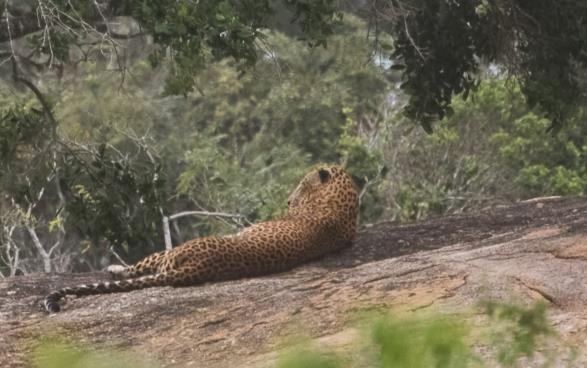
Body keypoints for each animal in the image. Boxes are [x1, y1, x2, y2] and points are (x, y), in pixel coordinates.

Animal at [42, 165, 358, 312]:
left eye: (302, 184)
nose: (288, 201)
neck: (342, 208)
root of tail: (199, 267)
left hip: (170, 254)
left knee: (137, 268)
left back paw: (114, 268)